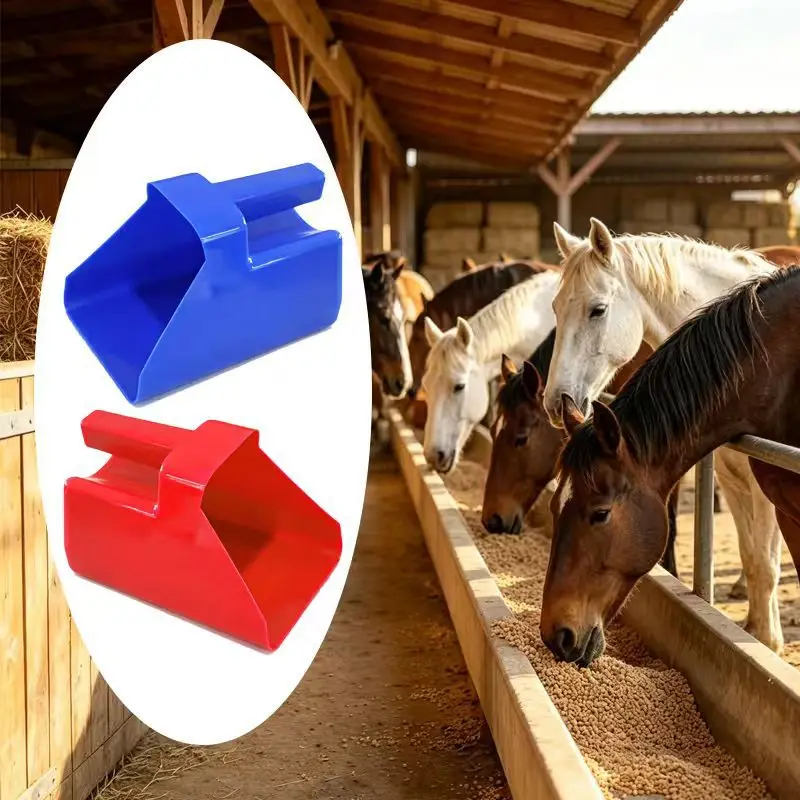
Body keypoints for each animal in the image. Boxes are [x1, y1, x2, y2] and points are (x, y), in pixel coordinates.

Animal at [541, 218, 785, 652]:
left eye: (597, 309)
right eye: (555, 307)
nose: (556, 401)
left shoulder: (763, 491)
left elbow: (766, 565)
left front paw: (768, 642)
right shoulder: (732, 481)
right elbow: (752, 555)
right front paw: (756, 628)